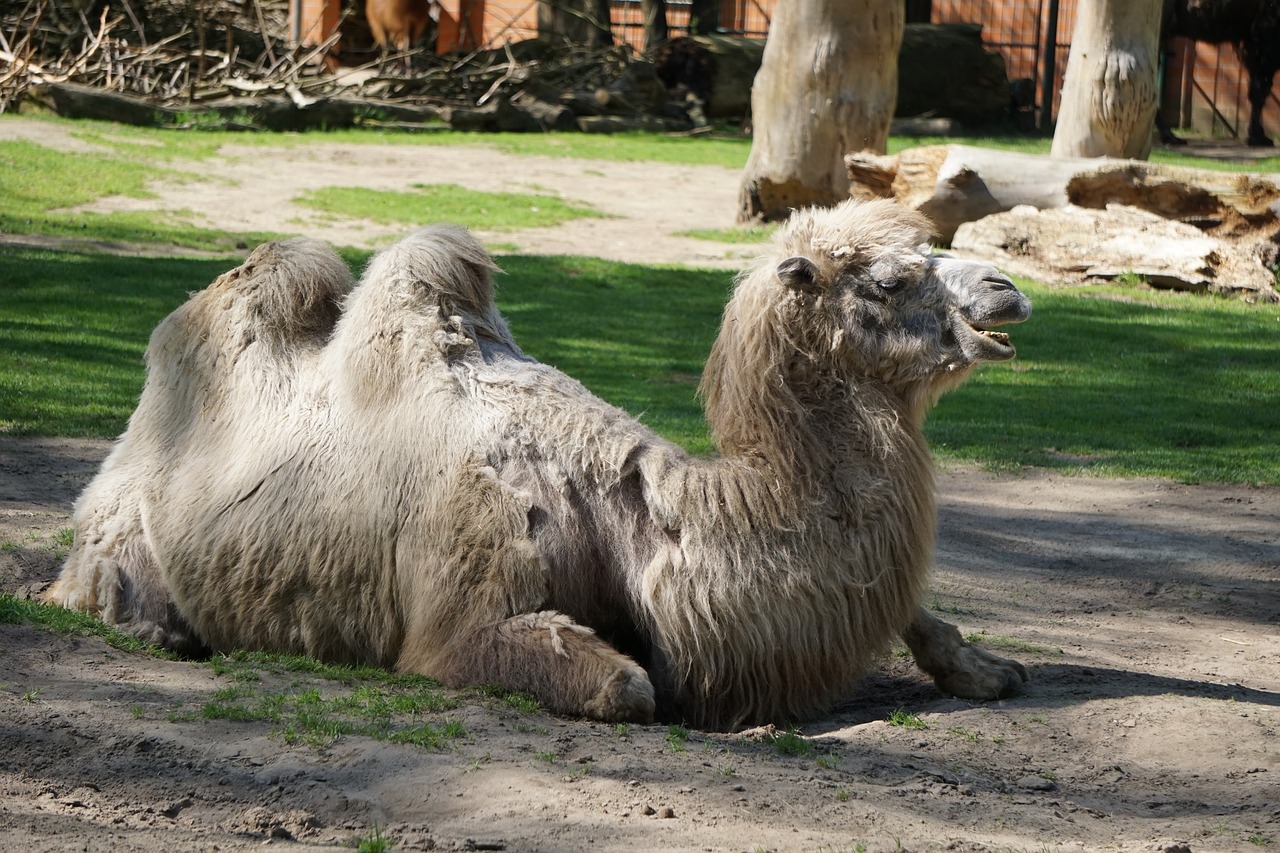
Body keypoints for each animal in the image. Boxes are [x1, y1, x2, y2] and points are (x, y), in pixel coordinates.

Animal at [45, 195, 1034, 727]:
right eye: (888, 280)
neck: (653, 520)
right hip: (118, 541)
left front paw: (987, 668)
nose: (1007, 289)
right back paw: (155, 628)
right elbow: (629, 682)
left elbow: (918, 612)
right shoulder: (469, 586)